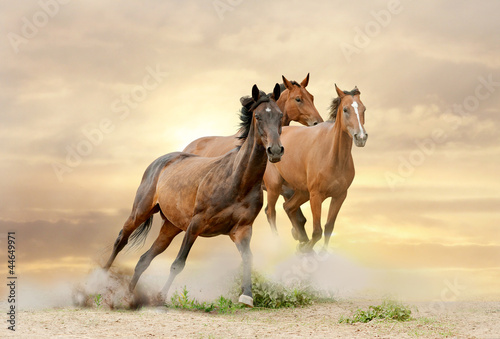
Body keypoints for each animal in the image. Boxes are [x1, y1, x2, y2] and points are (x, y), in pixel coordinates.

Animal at [103, 83, 284, 306]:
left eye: (280, 115)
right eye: (258, 116)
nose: (275, 151)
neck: (237, 180)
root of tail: (161, 160)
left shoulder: (242, 230)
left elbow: (248, 259)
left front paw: (246, 297)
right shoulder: (196, 224)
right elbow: (178, 263)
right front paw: (161, 296)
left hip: (171, 227)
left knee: (144, 260)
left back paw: (129, 297)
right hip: (141, 212)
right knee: (121, 240)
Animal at [266, 85, 368, 252]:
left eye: (363, 109)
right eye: (345, 109)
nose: (361, 137)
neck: (333, 158)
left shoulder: (340, 196)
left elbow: (328, 228)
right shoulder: (316, 196)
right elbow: (317, 232)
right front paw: (306, 249)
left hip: (302, 191)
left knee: (288, 207)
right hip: (274, 186)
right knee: (271, 212)